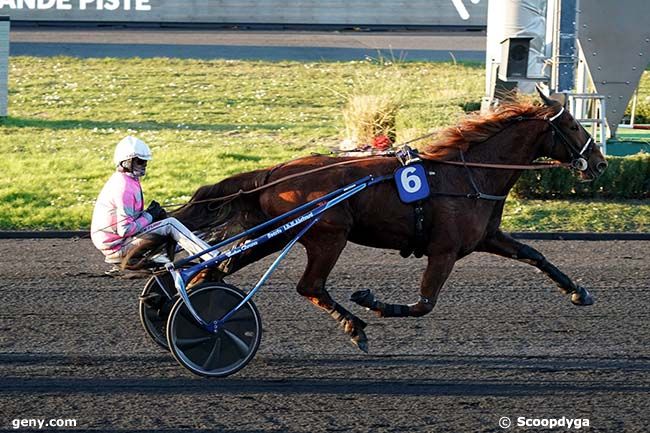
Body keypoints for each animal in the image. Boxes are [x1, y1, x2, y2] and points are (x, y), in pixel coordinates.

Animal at [129, 91, 604, 352]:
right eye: (574, 126)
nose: (599, 164)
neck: (468, 174)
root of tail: (277, 171)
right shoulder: (444, 250)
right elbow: (424, 303)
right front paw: (370, 301)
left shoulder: (486, 237)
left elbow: (535, 255)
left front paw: (578, 291)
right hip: (327, 235)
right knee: (309, 287)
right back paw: (351, 325)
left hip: (277, 234)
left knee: (215, 268)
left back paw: (179, 310)